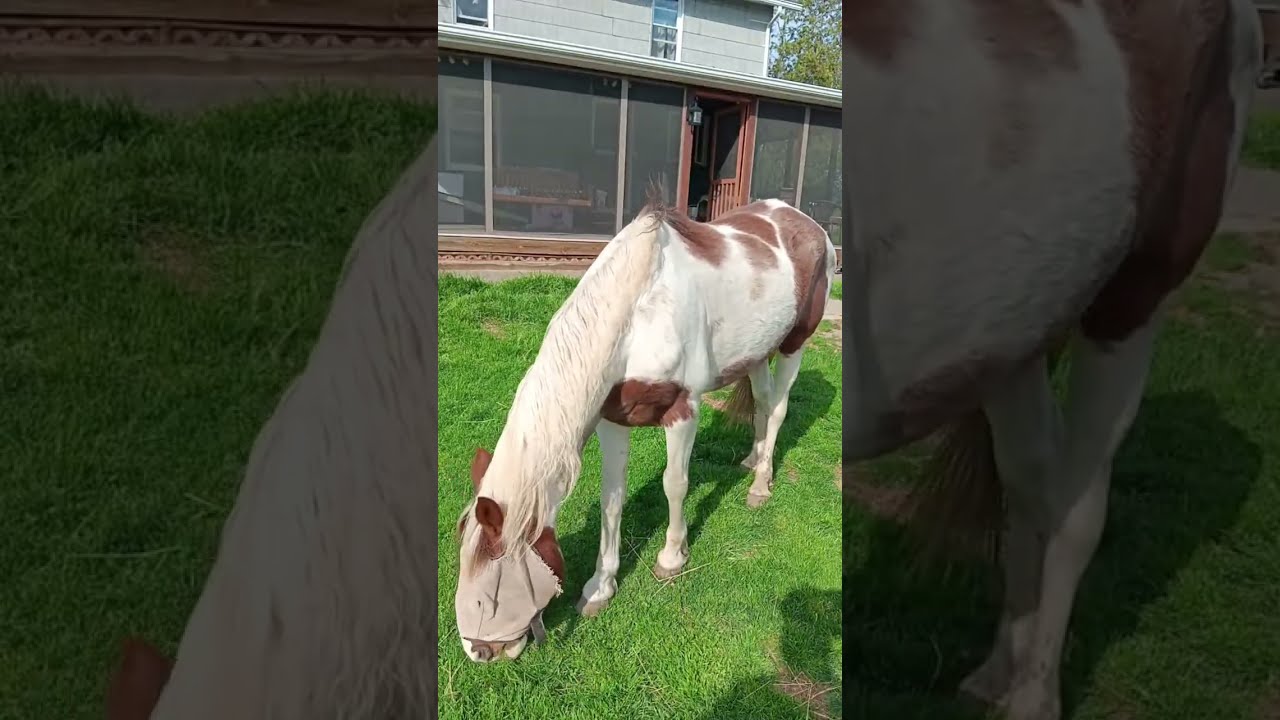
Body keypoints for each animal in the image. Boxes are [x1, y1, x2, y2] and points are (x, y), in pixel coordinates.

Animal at [452, 199, 837, 663]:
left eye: (493, 586)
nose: (478, 652)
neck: (637, 314)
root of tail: (808, 222)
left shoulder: (682, 412)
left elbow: (675, 484)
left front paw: (672, 558)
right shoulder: (613, 419)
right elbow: (611, 500)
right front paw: (600, 587)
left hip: (796, 342)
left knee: (778, 409)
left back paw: (761, 486)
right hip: (758, 351)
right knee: (761, 403)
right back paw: (751, 459)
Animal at [842, 1, 1263, 719]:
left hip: (1134, 298)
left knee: (1075, 506)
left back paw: (1033, 696)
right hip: (1014, 324)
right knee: (1030, 483)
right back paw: (997, 671)